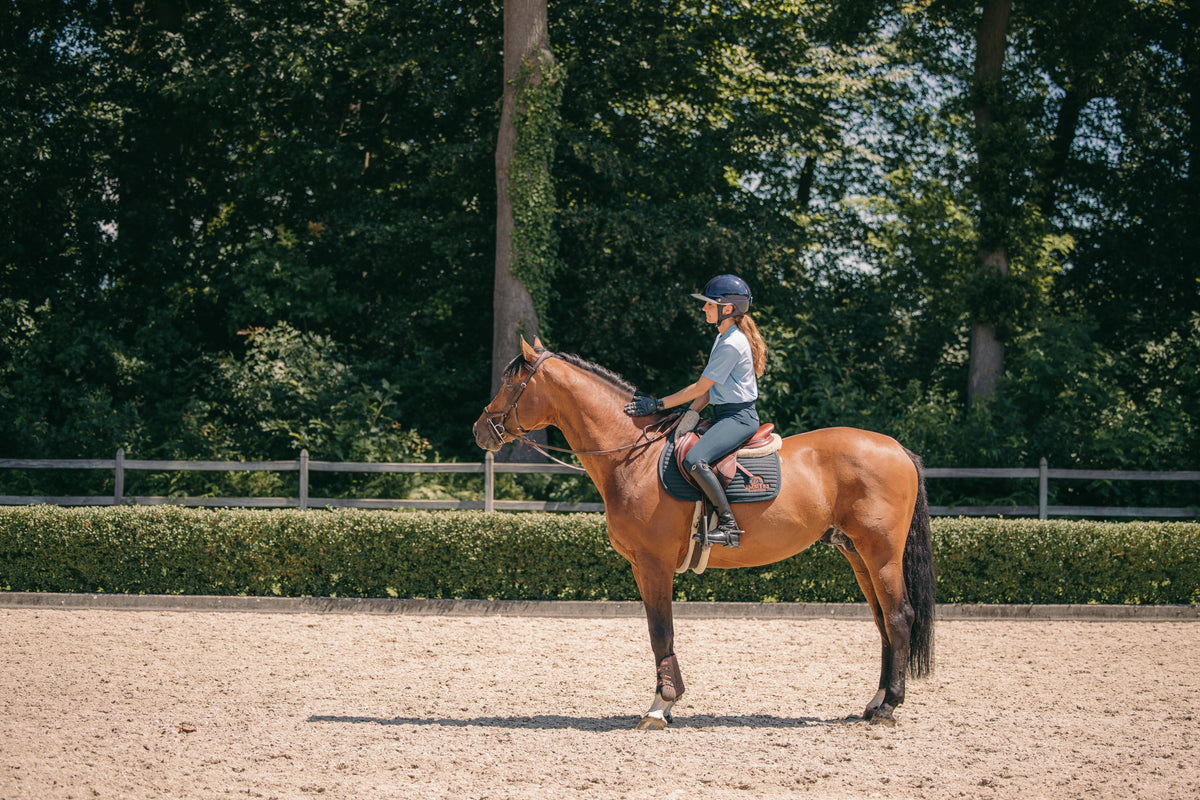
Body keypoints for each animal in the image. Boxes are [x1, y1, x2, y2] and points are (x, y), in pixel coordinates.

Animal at [473, 337, 935, 730]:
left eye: (510, 383)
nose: (480, 430)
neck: (633, 457)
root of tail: (897, 448)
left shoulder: (653, 563)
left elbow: (660, 631)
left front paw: (660, 706)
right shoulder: (645, 566)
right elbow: (660, 631)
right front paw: (667, 702)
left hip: (881, 553)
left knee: (898, 616)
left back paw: (889, 707)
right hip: (857, 554)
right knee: (881, 620)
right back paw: (875, 702)